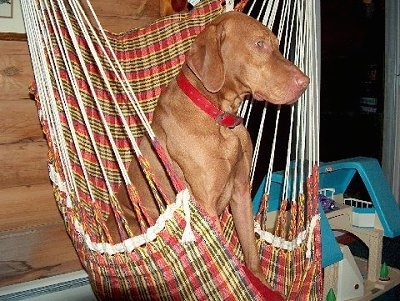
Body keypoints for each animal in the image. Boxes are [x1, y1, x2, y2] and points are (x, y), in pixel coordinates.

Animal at [109, 11, 310, 290]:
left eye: (277, 45)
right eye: (259, 44)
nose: (306, 82)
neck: (220, 118)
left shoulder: (240, 191)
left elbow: (250, 252)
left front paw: (260, 285)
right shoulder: (206, 204)